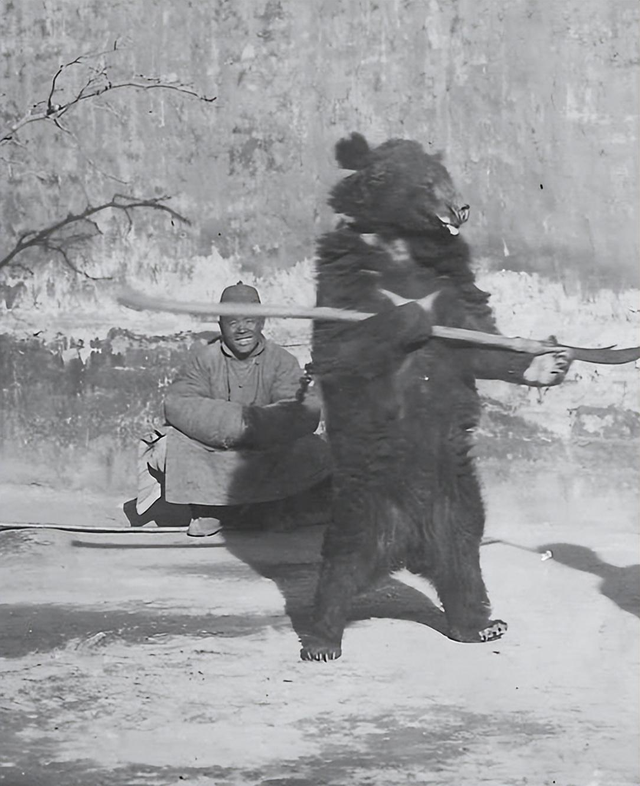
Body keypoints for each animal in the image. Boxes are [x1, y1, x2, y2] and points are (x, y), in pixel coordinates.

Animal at [302, 135, 572, 660]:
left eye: (449, 178)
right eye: (429, 183)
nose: (461, 208)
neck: (402, 245)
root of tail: (408, 542)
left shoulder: (451, 281)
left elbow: (480, 340)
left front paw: (550, 361)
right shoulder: (345, 275)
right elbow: (339, 347)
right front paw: (409, 318)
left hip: (460, 499)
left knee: (464, 560)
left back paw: (481, 624)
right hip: (362, 499)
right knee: (340, 562)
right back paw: (322, 638)